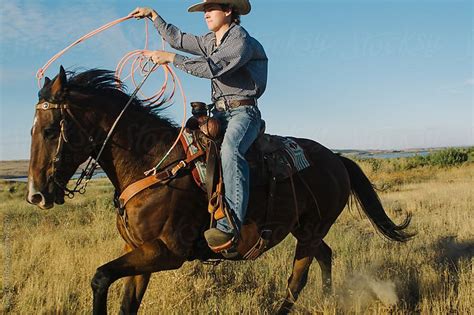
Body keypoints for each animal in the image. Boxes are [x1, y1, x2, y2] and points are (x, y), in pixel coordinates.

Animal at [25, 66, 412, 314]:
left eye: (49, 130)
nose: (36, 195)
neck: (153, 163)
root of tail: (336, 159)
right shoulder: (139, 252)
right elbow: (125, 302)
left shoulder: (169, 252)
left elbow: (100, 277)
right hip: (304, 228)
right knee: (325, 256)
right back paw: (331, 300)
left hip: (311, 230)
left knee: (296, 280)